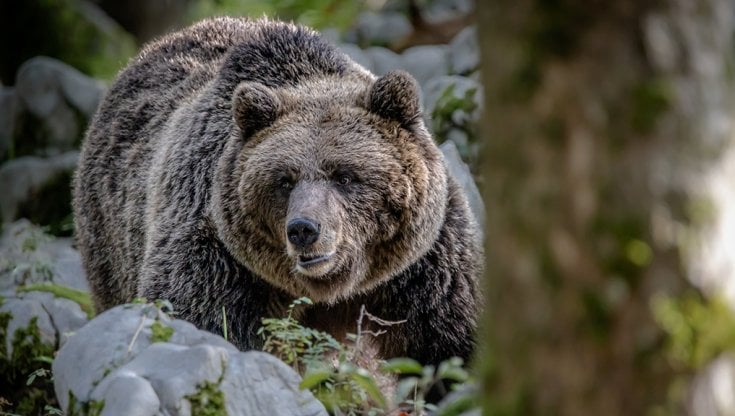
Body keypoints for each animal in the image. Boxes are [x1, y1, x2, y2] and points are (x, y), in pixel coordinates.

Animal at [72, 16, 482, 366]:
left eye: (345, 176)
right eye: (284, 180)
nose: (303, 229)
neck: (330, 287)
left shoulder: (422, 266)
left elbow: (447, 340)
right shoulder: (216, 254)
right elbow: (201, 318)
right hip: (108, 236)